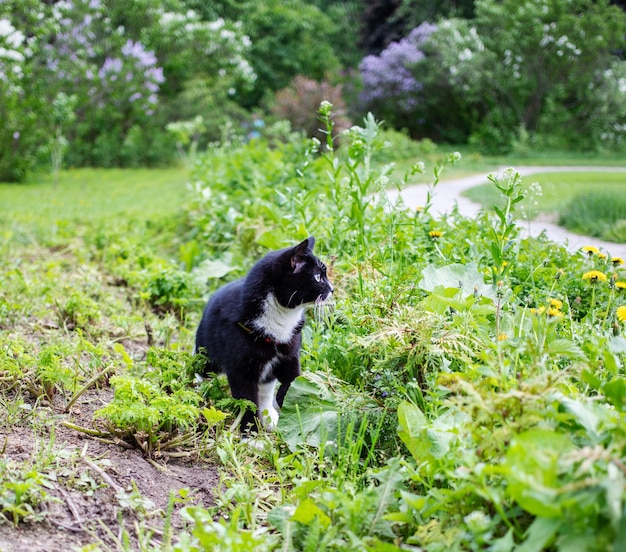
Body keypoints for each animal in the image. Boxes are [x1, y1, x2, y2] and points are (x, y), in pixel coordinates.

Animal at [194, 237, 332, 432]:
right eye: (318, 277)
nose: (332, 289)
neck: (282, 319)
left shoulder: (290, 351)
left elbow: (293, 380)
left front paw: (285, 400)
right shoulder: (240, 369)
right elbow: (246, 401)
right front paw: (249, 433)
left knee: (265, 390)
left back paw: (269, 418)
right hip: (206, 350)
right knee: (200, 368)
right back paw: (199, 390)